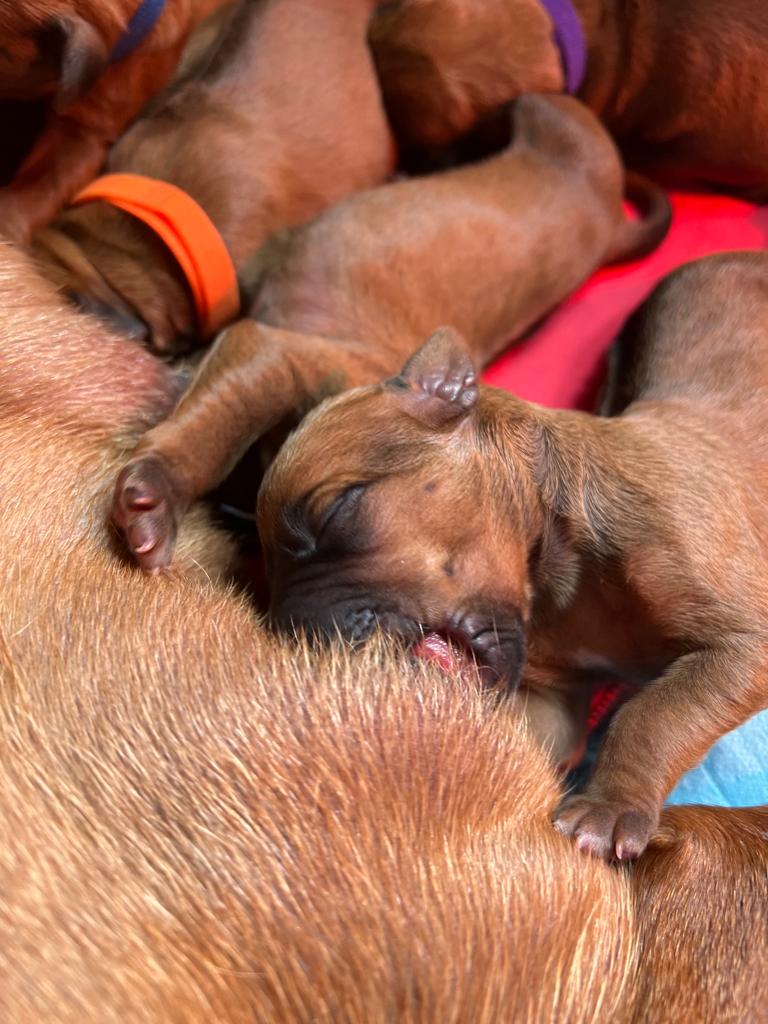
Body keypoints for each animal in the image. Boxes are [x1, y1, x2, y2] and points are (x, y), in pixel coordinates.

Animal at [254, 250, 768, 863]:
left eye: (335, 511)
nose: (292, 631)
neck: (563, 582)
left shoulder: (743, 642)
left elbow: (656, 712)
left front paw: (609, 806)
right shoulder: (551, 702)